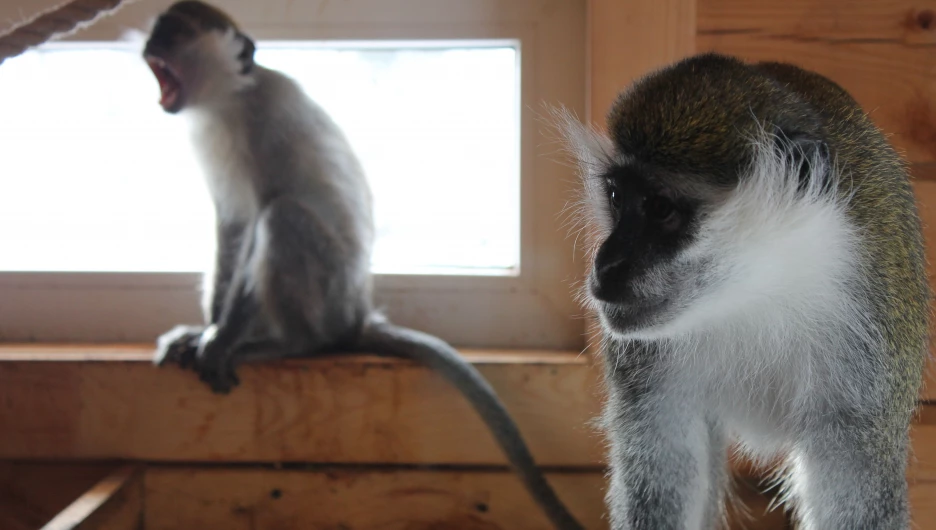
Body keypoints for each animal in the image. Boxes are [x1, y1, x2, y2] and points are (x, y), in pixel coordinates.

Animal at [140, 2, 584, 524]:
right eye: (161, 29)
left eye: (176, 32)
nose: (151, 44)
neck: (227, 100)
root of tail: (355, 316)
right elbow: (231, 227)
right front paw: (205, 330)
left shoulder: (259, 125)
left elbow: (254, 219)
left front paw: (222, 338)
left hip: (326, 296)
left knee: (282, 215)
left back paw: (291, 343)